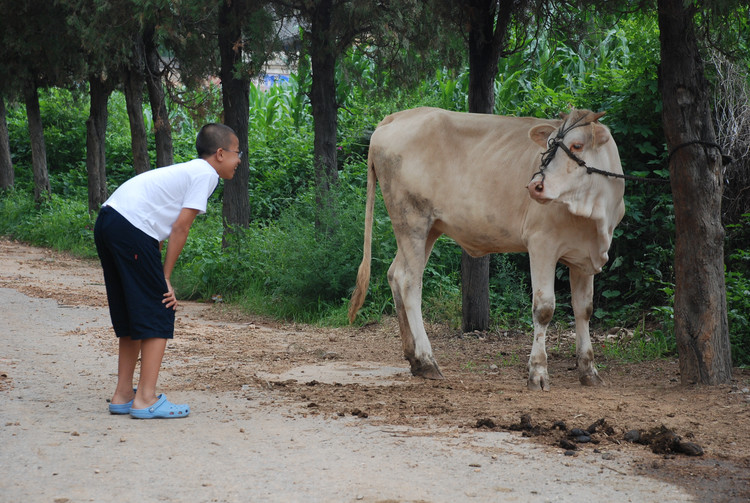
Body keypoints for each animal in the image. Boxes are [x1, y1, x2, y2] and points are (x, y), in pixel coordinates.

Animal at [350, 106, 624, 392]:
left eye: (577, 145)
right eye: (549, 145)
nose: (535, 185)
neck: (595, 216)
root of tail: (399, 115)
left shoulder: (585, 256)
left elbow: (584, 309)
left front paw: (589, 370)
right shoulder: (542, 243)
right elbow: (544, 308)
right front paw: (538, 372)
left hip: (428, 228)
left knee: (395, 273)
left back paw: (413, 358)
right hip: (411, 219)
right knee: (409, 282)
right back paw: (427, 360)